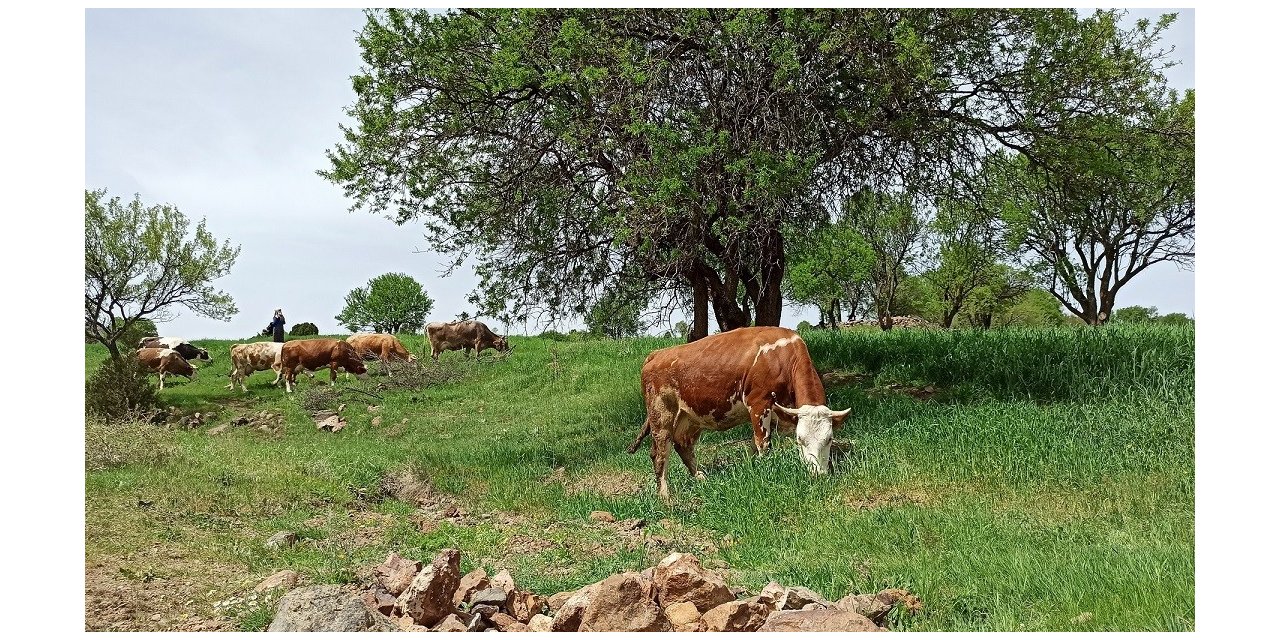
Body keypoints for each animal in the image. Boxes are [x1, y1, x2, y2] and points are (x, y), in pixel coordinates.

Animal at [627, 327, 849, 496]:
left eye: (829, 439)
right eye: (799, 440)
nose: (818, 474)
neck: (782, 357)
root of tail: (657, 354)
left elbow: (753, 444)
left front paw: (751, 466)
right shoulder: (759, 404)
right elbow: (763, 444)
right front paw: (764, 470)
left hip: (689, 417)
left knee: (683, 445)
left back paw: (700, 477)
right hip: (661, 413)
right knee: (660, 453)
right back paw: (665, 496)